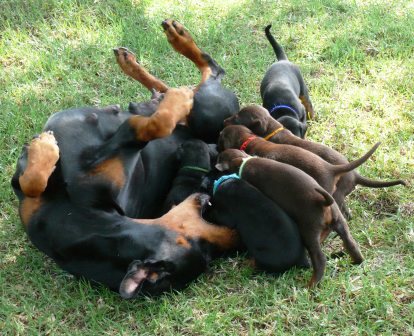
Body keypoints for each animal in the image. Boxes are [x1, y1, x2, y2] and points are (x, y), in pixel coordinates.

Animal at [11, 21, 239, 298]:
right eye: (204, 247)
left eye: (208, 255)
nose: (236, 236)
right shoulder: (23, 191)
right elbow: (31, 183)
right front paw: (43, 149)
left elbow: (153, 126)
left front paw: (44, 147)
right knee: (190, 79)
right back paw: (149, 56)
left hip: (207, 111)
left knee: (209, 74)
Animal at [215, 150, 364, 286]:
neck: (244, 161)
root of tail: (323, 202)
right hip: (340, 222)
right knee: (351, 244)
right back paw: (356, 262)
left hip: (309, 230)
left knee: (320, 259)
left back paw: (311, 285)